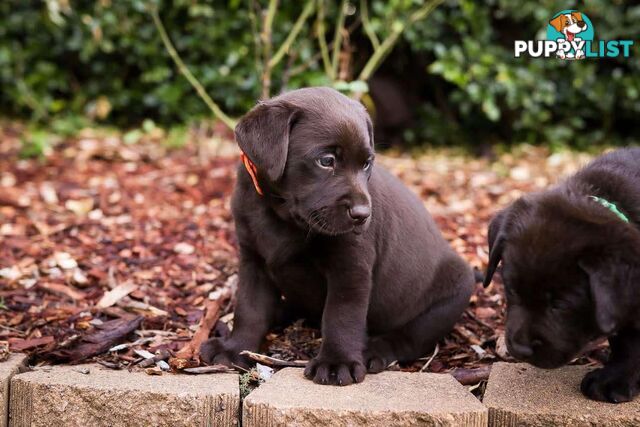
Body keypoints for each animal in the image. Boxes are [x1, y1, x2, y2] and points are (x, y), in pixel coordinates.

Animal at [201, 86, 476, 384]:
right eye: (326, 161)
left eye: (367, 163)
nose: (362, 214)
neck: (282, 215)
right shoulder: (254, 261)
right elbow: (249, 309)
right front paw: (235, 348)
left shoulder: (350, 270)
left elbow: (341, 316)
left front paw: (337, 362)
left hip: (452, 294)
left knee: (410, 337)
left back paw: (375, 349)